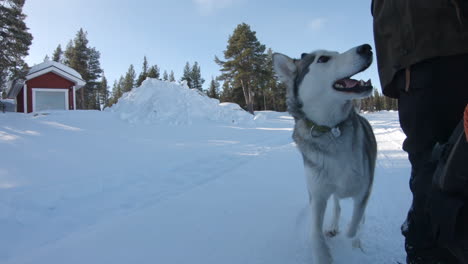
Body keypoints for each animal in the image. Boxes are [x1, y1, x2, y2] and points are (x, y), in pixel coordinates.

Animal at [274, 44, 376, 262]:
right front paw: (323, 253)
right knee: (337, 204)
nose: (366, 47)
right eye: (322, 59)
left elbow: (355, 224)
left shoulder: (364, 190)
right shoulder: (317, 194)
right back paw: (334, 225)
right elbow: (315, 232)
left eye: (337, 54)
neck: (331, 130)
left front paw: (353, 239)